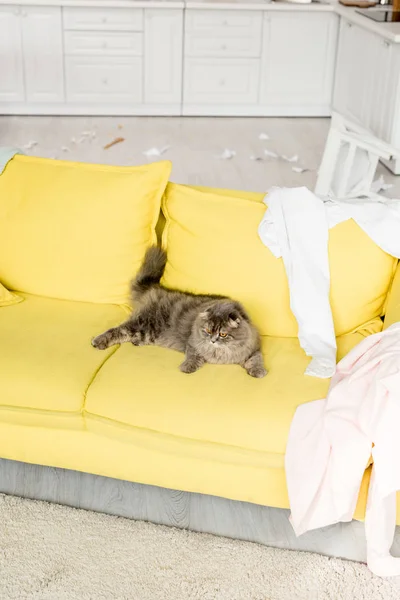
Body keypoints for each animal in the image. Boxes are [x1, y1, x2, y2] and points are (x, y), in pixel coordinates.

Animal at [92, 246, 268, 378]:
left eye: (223, 334)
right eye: (208, 330)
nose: (212, 341)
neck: (220, 354)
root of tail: (156, 288)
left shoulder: (253, 350)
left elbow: (257, 360)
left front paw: (259, 372)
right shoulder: (192, 344)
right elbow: (193, 357)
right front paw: (187, 367)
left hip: (146, 332)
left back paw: (136, 342)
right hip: (143, 323)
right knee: (117, 330)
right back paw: (98, 341)